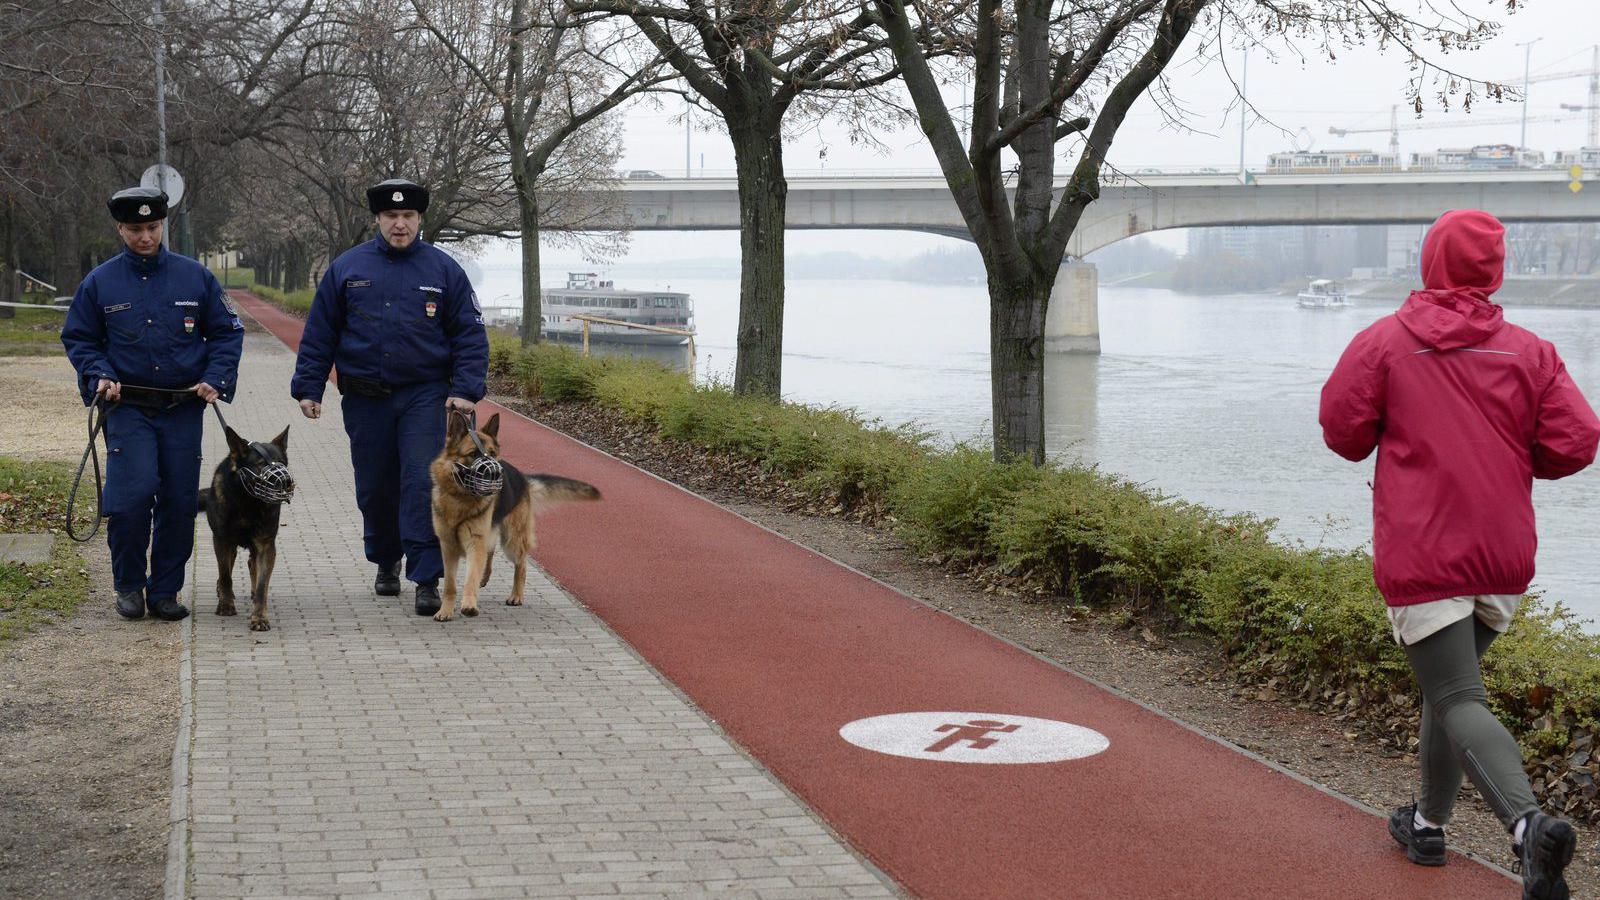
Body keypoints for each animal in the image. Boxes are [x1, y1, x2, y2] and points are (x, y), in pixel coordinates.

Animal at [198, 422, 292, 627]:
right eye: (261, 464)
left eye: (282, 463)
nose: (287, 481)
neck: (248, 503)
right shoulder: (222, 542)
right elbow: (225, 576)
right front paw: (226, 605)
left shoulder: (265, 546)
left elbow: (262, 585)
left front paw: (259, 617)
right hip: (230, 547)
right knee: (227, 570)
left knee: (252, 565)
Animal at [428, 409, 598, 621]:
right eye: (473, 454)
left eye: (492, 453)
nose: (495, 473)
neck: (460, 498)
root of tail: (522, 477)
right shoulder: (448, 547)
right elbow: (450, 585)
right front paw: (445, 610)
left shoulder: (474, 543)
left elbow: (471, 577)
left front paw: (469, 604)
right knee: (491, 551)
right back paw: (486, 576)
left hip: (512, 541)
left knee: (521, 564)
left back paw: (516, 595)